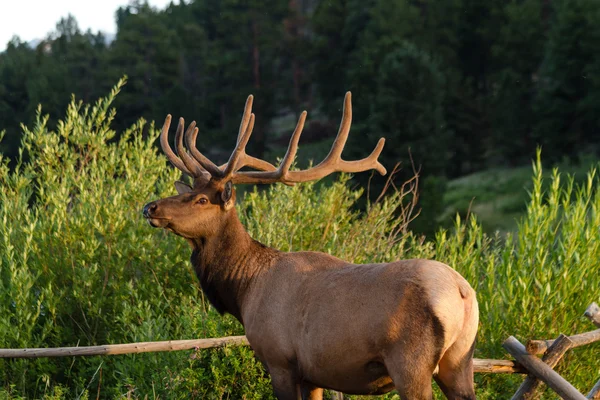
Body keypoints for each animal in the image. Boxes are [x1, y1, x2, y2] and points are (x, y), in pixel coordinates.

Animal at [144, 92, 478, 398]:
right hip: (460, 361)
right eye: (189, 191)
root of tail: (462, 292)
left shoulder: (280, 360)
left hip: (409, 361)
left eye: (202, 199)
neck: (244, 288)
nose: (150, 207)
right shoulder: (314, 374)